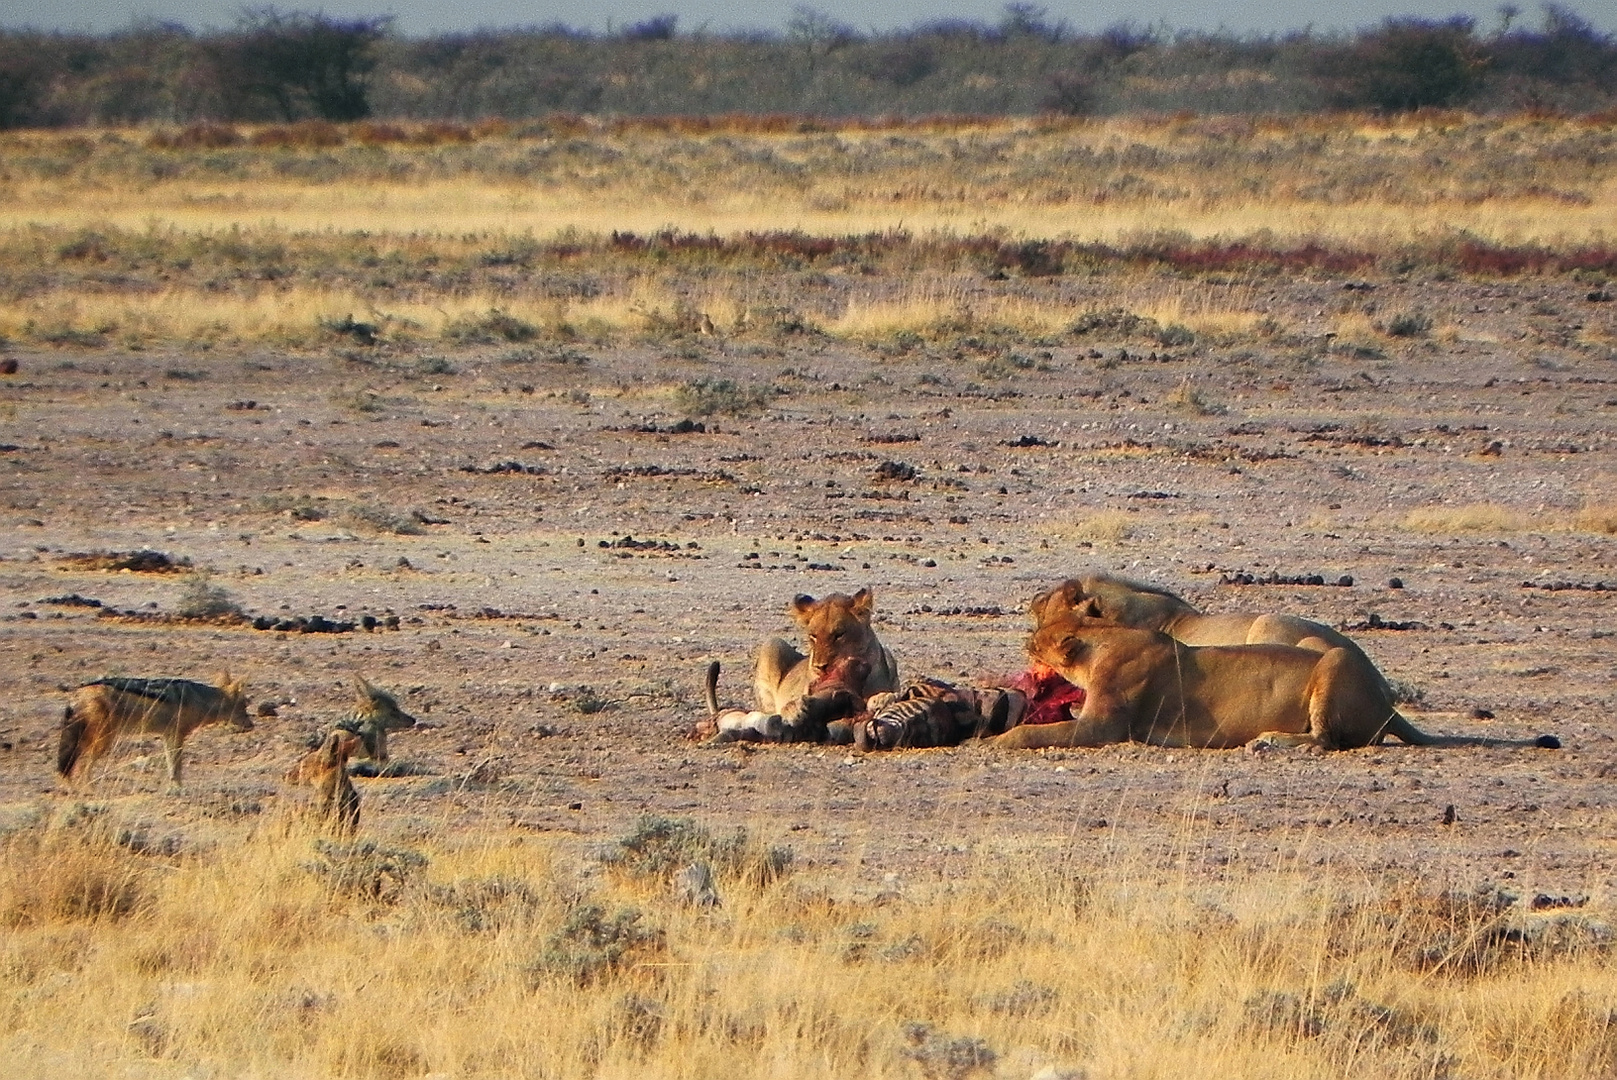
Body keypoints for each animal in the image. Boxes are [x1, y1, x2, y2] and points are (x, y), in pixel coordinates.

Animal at [753, 585, 905, 737]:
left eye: (839, 635)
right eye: (813, 636)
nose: (820, 666)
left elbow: (889, 694)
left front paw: (882, 698)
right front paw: (794, 710)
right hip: (773, 643)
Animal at [983, 614, 1429, 750]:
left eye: (1037, 641)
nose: (1024, 639)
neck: (1102, 639)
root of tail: (1389, 707)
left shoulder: (1104, 726)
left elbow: (1036, 733)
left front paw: (992, 741)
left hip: (1336, 660)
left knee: (1326, 740)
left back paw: (1270, 741)